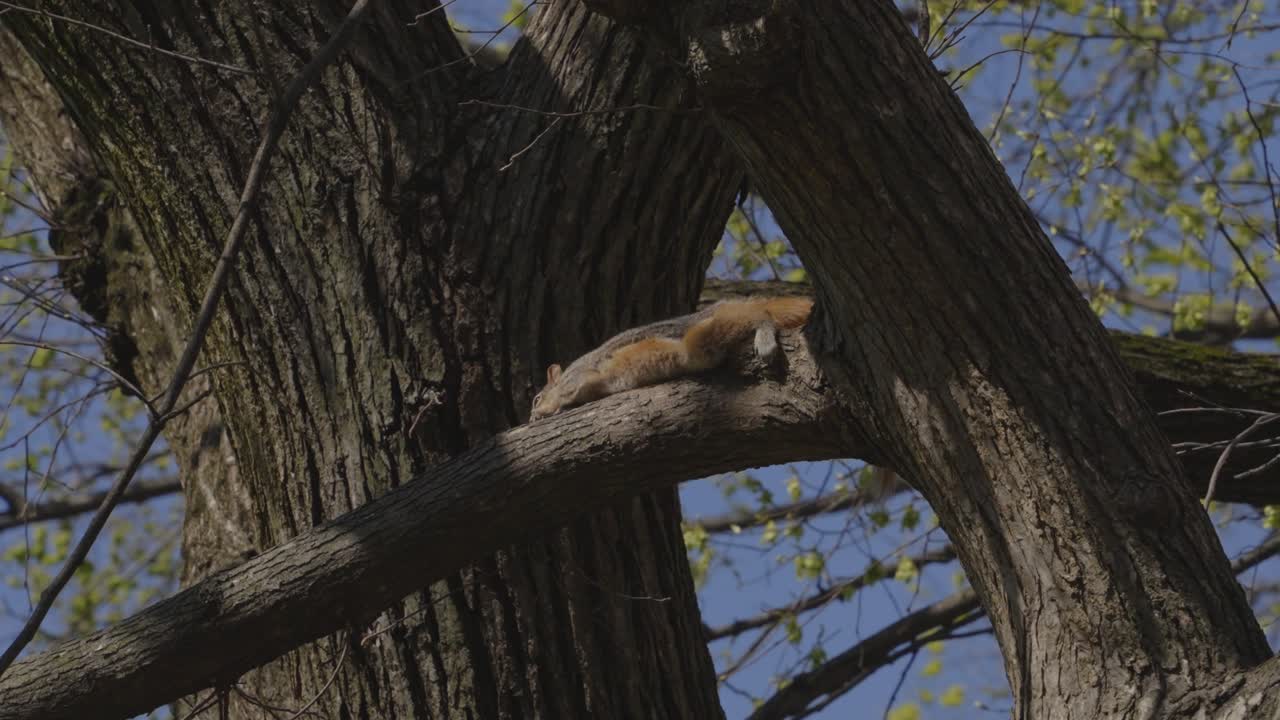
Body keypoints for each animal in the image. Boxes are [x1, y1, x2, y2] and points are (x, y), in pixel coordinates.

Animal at [531, 296, 813, 420]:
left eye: (536, 398)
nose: (533, 415)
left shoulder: (578, 378)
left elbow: (572, 392)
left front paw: (552, 410)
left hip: (705, 334)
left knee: (760, 315)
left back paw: (764, 336)